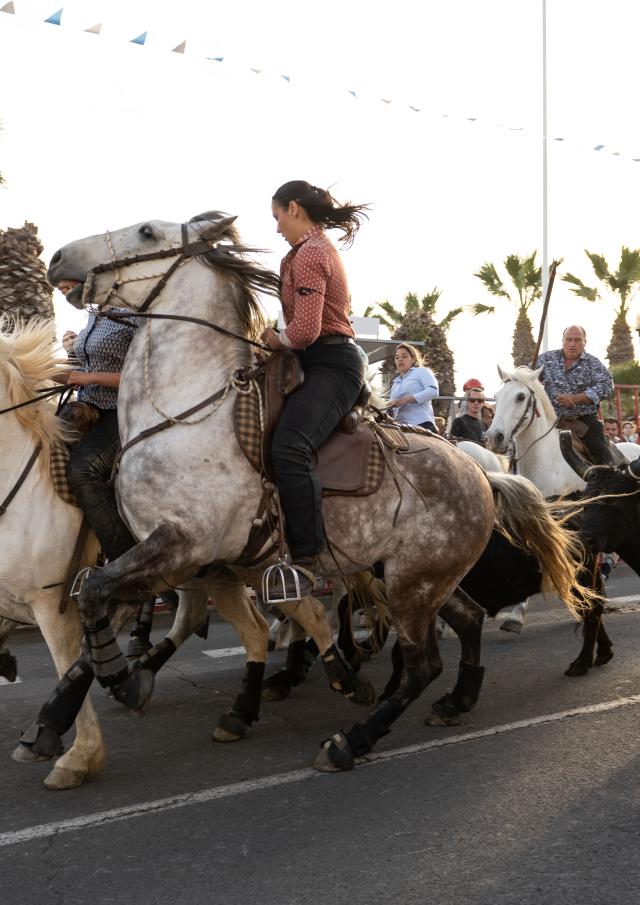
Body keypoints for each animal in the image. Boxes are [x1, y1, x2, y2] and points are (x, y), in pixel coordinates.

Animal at [46, 210, 592, 768]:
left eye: (148, 232)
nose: (58, 259)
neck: (185, 414)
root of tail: (482, 470)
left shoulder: (182, 545)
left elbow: (97, 592)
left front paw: (120, 682)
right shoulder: (183, 559)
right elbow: (106, 601)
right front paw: (72, 706)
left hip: (412, 584)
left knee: (423, 664)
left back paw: (352, 739)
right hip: (417, 576)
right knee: (468, 619)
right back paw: (455, 701)